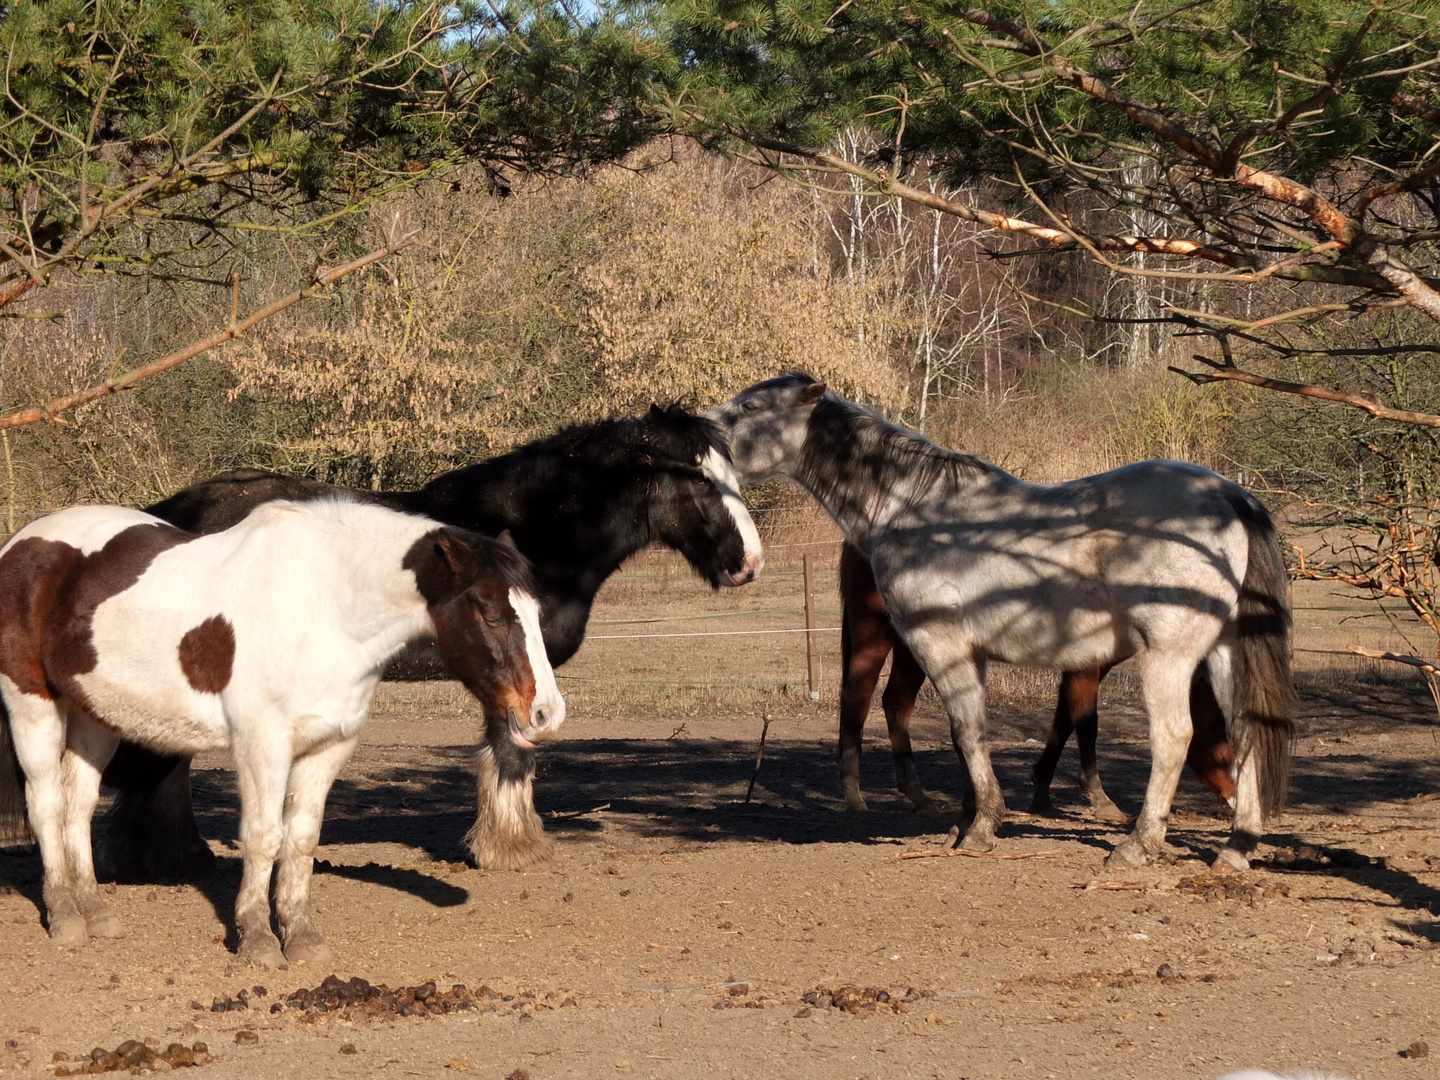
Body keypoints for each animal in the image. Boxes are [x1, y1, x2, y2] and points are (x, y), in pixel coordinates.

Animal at [0, 504, 561, 967]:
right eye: (490, 612)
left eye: (537, 613)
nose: (546, 714)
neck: (326, 608)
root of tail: (21, 543)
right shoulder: (261, 746)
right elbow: (264, 837)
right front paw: (258, 941)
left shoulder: (329, 747)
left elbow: (302, 839)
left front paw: (303, 937)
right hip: (33, 707)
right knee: (47, 804)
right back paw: (65, 917)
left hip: (94, 717)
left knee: (78, 808)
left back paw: (95, 912)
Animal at [840, 544, 1238, 823]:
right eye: (1225, 753)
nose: (1234, 803)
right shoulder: (1086, 668)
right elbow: (1086, 724)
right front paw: (1098, 796)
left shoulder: (1080, 667)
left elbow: (1063, 723)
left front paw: (1042, 791)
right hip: (875, 636)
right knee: (857, 698)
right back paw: (854, 796)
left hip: (917, 648)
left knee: (896, 703)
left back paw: (919, 796)